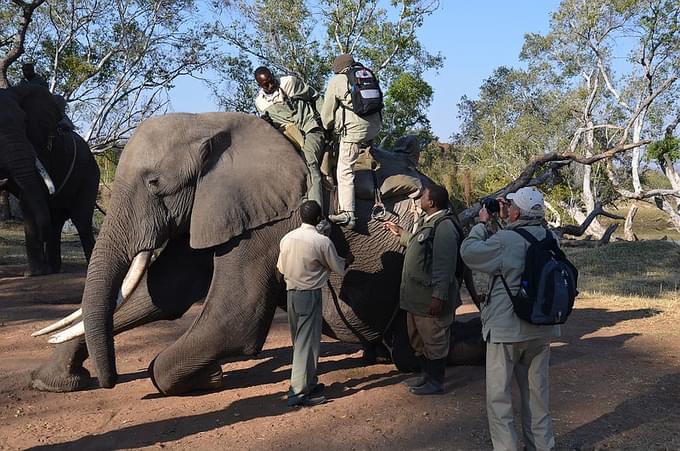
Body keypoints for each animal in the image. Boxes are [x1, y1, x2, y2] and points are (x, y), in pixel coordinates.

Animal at [0, 85, 101, 276]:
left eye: (25, 121)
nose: (41, 236)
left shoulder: (39, 146)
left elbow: (29, 196)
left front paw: (36, 273)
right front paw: (40, 271)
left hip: (90, 174)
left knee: (81, 221)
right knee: (56, 219)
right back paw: (53, 269)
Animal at [30, 113, 484, 396]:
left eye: (156, 184)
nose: (107, 380)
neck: (209, 124)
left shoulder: (267, 223)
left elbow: (235, 318)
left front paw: (211, 377)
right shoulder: (213, 208)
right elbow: (164, 293)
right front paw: (53, 382)